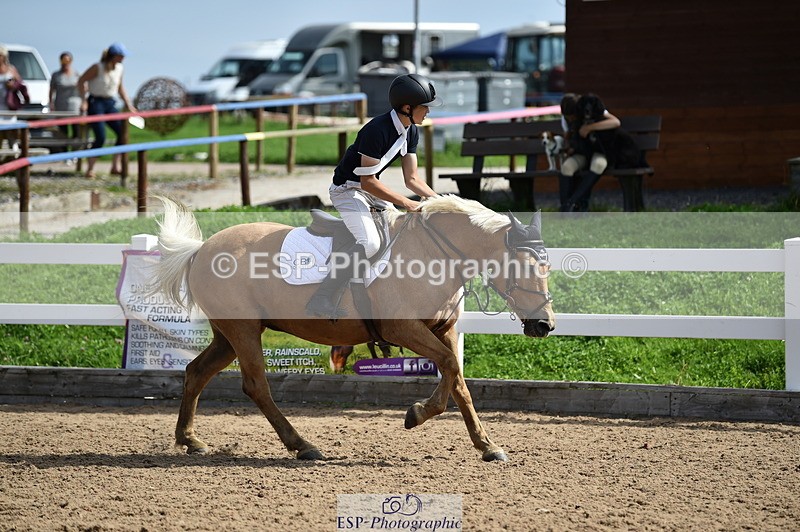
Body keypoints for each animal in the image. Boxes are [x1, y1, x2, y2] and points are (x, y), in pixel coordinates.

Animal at [153, 195, 555, 462]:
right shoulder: (404, 328)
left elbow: (458, 381)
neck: (437, 254)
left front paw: (487, 445)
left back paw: (189, 440)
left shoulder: (444, 330)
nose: (545, 325)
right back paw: (303, 446)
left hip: (228, 335)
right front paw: (417, 414)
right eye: (523, 267)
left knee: (196, 372)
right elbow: (450, 367)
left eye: (547, 266)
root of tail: (201, 249)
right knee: (255, 385)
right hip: (243, 332)